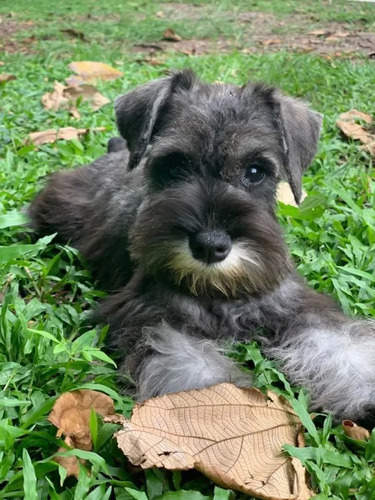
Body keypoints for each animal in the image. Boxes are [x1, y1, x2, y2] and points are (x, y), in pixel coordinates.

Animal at [28, 69, 375, 422]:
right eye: (175, 166)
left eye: (255, 171)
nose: (210, 245)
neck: (217, 289)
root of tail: (115, 150)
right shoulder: (151, 316)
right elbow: (194, 371)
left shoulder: (296, 304)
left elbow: (340, 345)